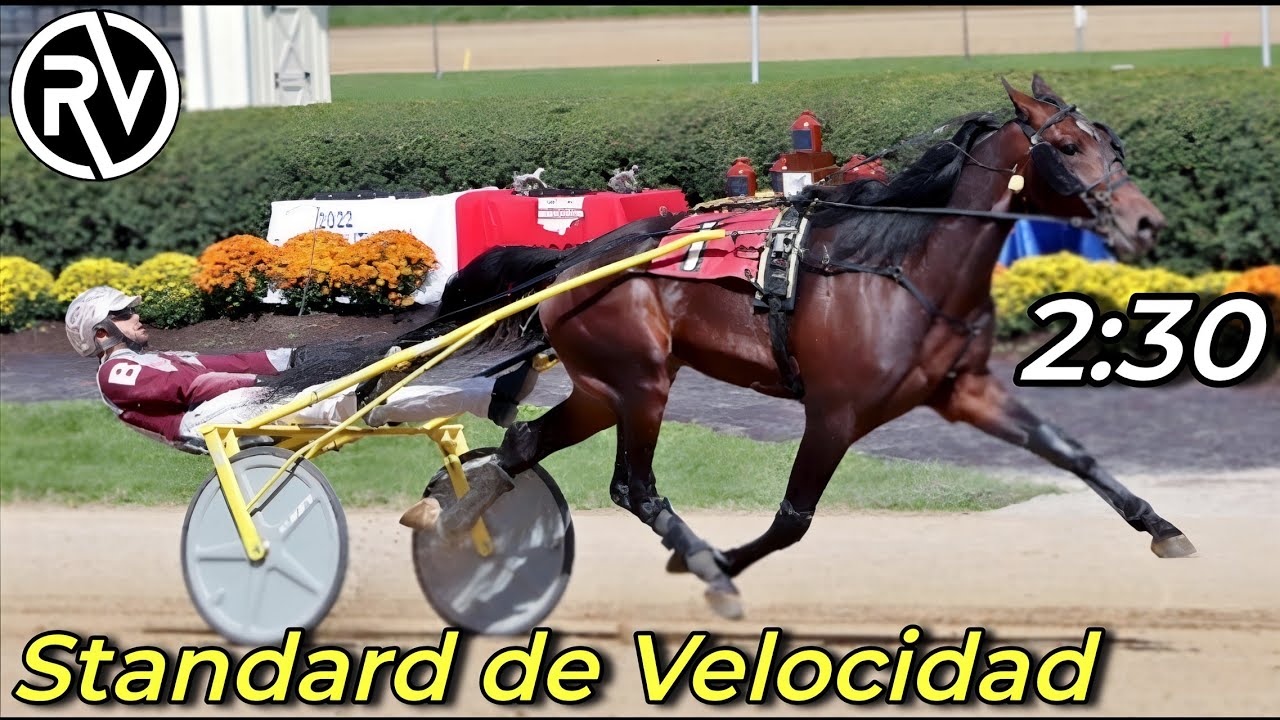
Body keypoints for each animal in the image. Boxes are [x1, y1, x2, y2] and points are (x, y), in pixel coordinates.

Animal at [368, 75, 1199, 618]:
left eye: (1113, 143)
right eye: (1068, 145)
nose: (1146, 222)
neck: (900, 264)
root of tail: (575, 258)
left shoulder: (965, 389)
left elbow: (1070, 451)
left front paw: (1163, 529)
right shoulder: (835, 411)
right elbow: (793, 519)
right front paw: (716, 565)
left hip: (604, 388)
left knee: (523, 446)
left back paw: (454, 522)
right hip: (641, 383)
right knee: (634, 487)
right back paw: (705, 562)